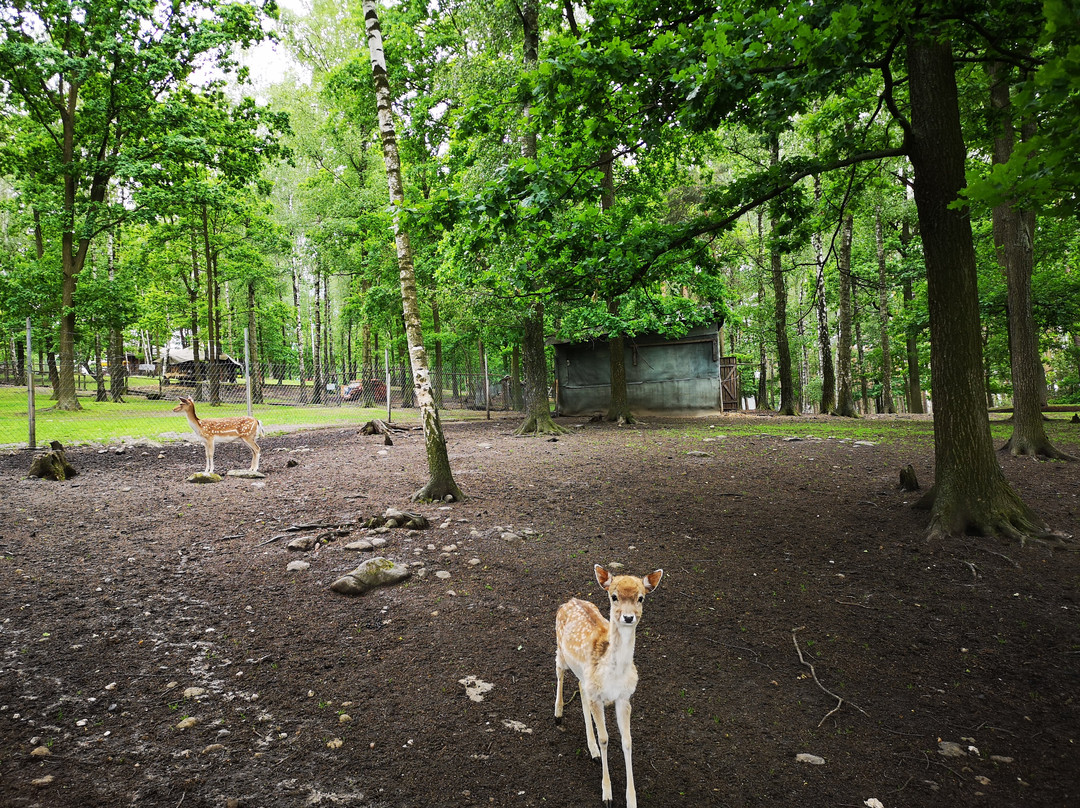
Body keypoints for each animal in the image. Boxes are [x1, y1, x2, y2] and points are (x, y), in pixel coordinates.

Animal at [561, 566, 660, 803]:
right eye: (614, 596)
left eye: (641, 598)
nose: (628, 617)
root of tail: (570, 601)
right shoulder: (597, 697)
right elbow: (605, 738)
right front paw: (607, 794)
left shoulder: (624, 697)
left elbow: (627, 741)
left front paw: (631, 799)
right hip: (559, 651)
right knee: (559, 673)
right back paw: (557, 714)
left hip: (583, 676)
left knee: (580, 688)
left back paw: (592, 750)